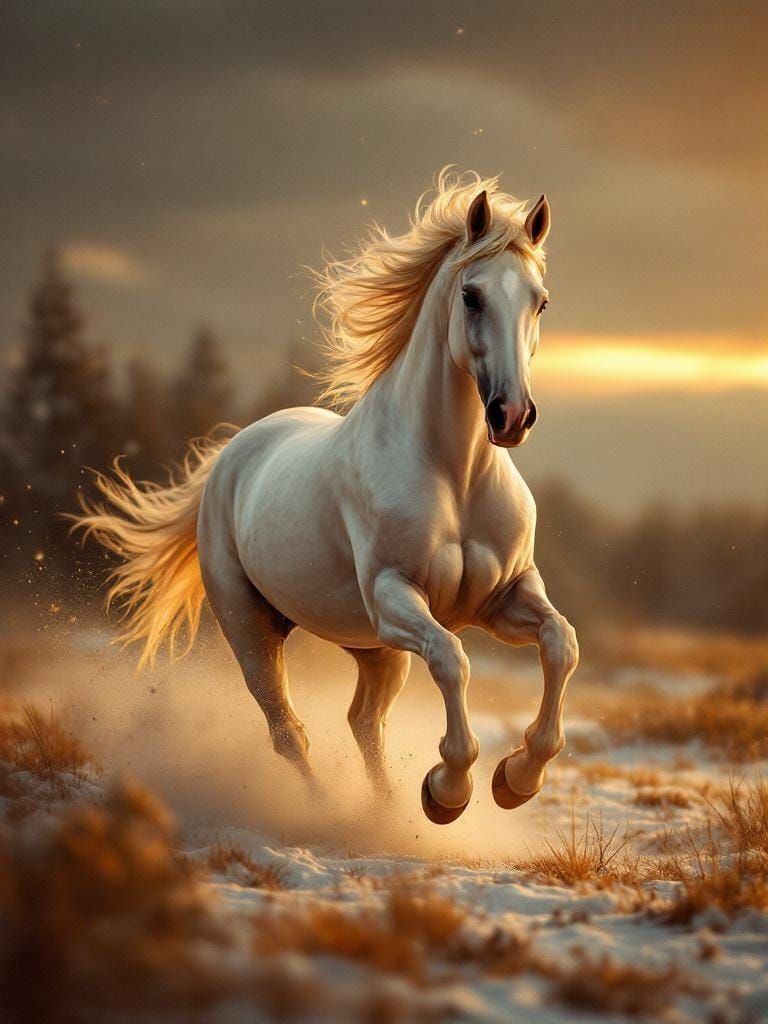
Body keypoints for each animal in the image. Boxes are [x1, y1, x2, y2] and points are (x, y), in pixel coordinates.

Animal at [74, 170, 579, 825]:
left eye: (540, 301)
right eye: (472, 296)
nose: (512, 415)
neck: (455, 475)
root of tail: (233, 453)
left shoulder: (505, 596)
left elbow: (560, 644)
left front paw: (516, 779)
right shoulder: (396, 596)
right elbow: (452, 658)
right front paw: (449, 791)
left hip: (373, 649)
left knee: (364, 722)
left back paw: (386, 813)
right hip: (253, 631)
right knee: (289, 732)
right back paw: (327, 812)